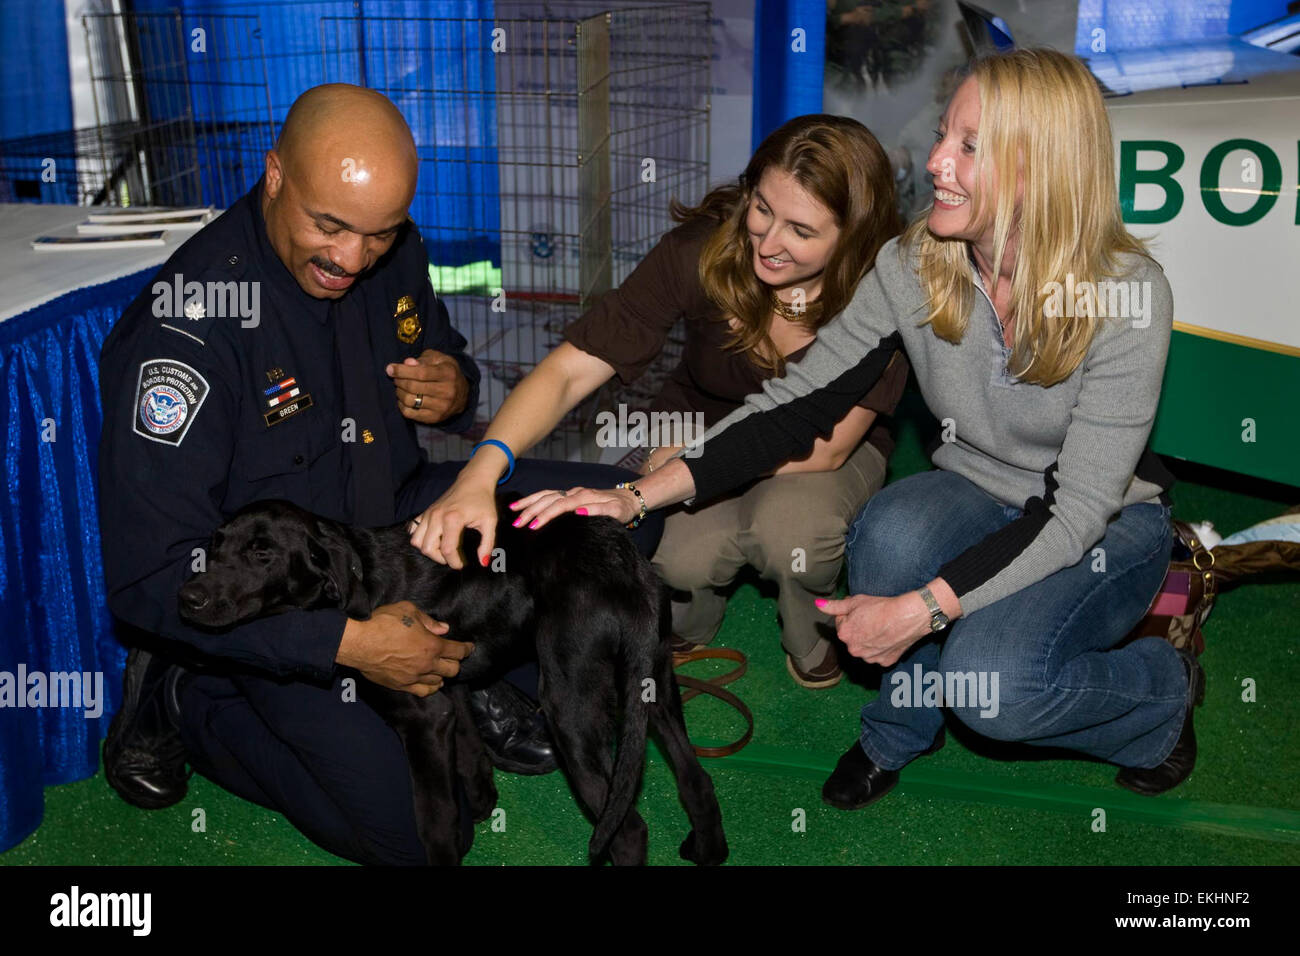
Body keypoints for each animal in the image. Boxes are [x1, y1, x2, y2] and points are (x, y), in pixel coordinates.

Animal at [174, 502, 728, 868]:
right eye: (215, 545)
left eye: (263, 553)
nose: (187, 598)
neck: (357, 575)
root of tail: (623, 558)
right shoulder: (448, 690)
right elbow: (470, 753)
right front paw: (483, 803)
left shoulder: (421, 719)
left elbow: (434, 820)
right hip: (653, 687)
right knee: (696, 779)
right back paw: (709, 852)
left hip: (572, 706)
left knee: (628, 829)